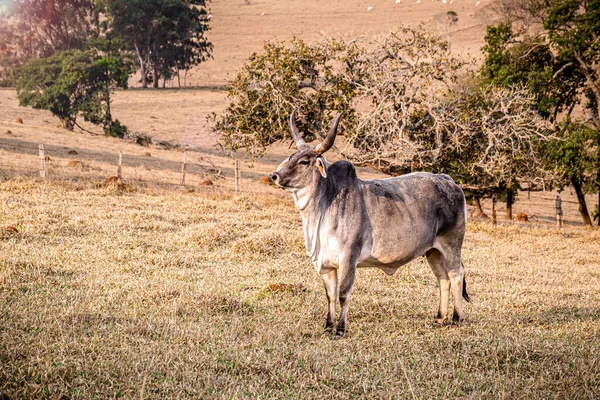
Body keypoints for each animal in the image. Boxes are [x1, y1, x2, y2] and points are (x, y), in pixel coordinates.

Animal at [270, 112, 472, 338]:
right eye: (290, 157)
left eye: (305, 161)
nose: (274, 176)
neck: (325, 204)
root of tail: (448, 181)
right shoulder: (326, 264)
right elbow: (330, 295)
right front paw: (328, 326)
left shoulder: (348, 258)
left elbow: (343, 294)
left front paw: (340, 329)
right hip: (433, 251)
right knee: (442, 279)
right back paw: (439, 318)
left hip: (451, 245)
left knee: (456, 275)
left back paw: (456, 318)